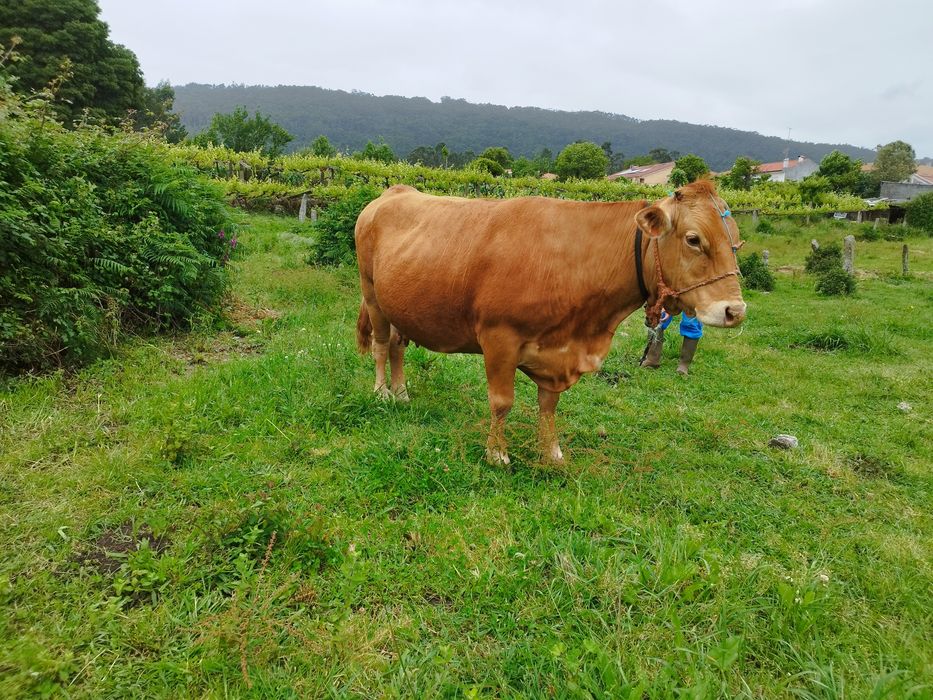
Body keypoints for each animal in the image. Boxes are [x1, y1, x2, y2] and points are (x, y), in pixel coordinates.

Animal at [354, 180, 746, 465]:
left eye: (737, 243)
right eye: (693, 239)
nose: (735, 310)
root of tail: (393, 192)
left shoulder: (557, 351)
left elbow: (549, 405)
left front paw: (551, 452)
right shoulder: (499, 337)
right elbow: (502, 401)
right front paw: (497, 453)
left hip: (401, 304)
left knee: (397, 346)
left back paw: (402, 393)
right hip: (372, 294)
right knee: (380, 345)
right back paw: (382, 393)